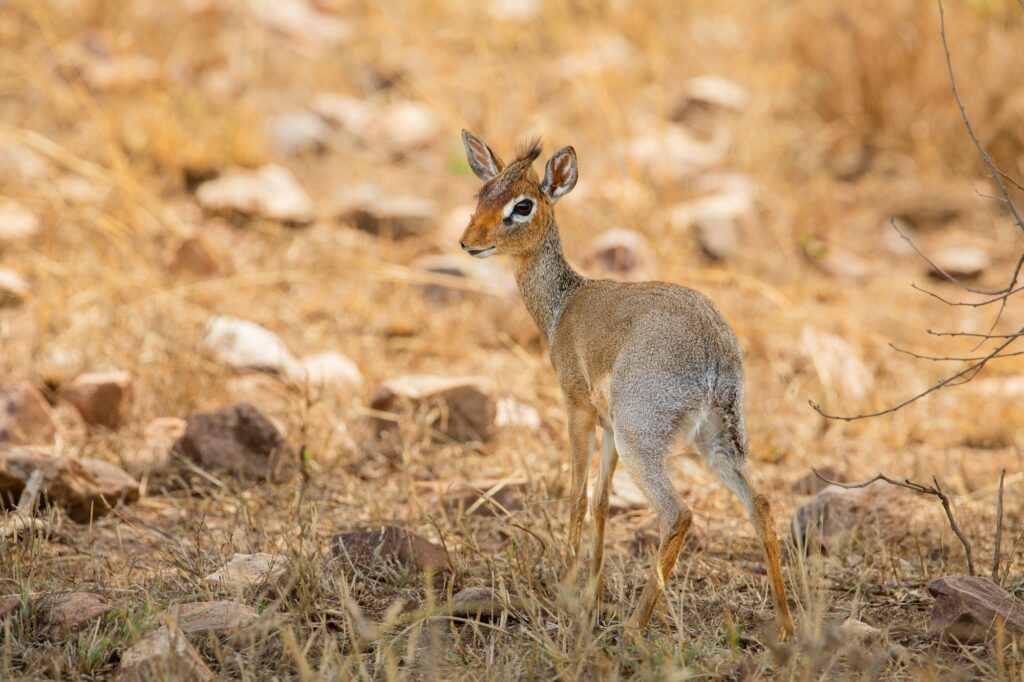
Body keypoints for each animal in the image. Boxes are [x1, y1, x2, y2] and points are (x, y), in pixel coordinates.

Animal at [458, 131, 798, 638]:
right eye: (482, 194)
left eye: (522, 205)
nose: (468, 242)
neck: (564, 305)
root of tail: (714, 348)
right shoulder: (608, 428)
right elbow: (601, 503)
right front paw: (592, 597)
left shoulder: (578, 411)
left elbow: (578, 498)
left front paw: (565, 596)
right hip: (715, 440)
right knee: (761, 503)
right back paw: (786, 626)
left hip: (642, 440)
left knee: (678, 514)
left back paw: (635, 626)